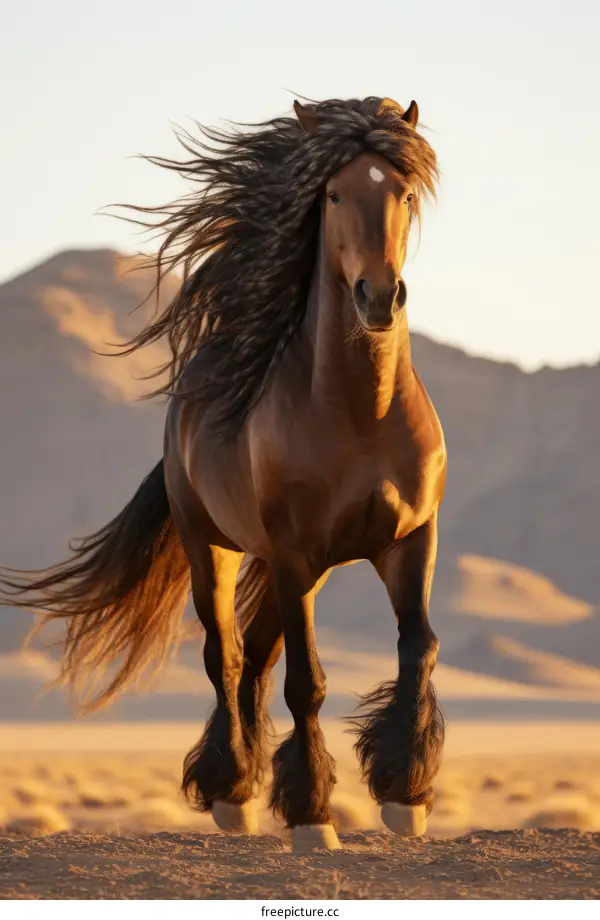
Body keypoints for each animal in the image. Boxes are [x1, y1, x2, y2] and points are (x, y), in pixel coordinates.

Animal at [0, 95, 446, 852]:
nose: (378, 297)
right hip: (219, 549)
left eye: (406, 193)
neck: (362, 414)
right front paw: (312, 817)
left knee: (255, 656)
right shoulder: (294, 554)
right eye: (333, 193)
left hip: (302, 568)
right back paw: (230, 792)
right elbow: (306, 683)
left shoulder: (407, 542)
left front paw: (404, 794)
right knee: (228, 657)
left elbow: (419, 647)